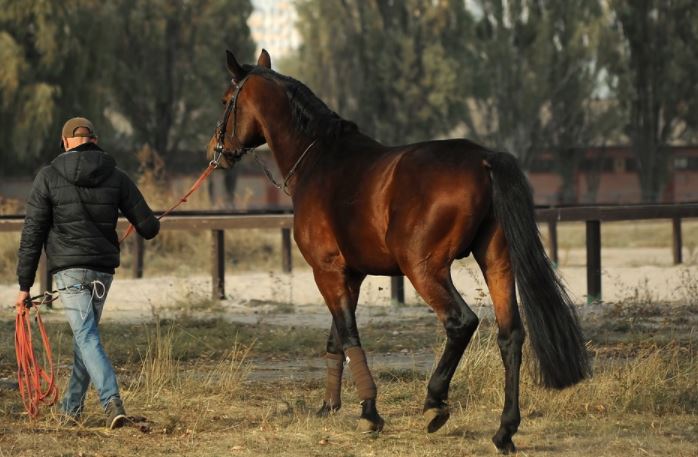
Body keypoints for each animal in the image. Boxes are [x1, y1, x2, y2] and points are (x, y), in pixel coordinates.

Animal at [207, 50, 588, 452]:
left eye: (225, 100)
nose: (216, 151)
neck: (320, 160)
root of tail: (484, 158)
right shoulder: (350, 275)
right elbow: (335, 338)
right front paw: (330, 407)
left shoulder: (326, 271)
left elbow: (348, 335)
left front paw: (370, 413)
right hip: (496, 261)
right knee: (510, 334)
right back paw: (504, 431)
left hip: (423, 269)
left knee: (461, 322)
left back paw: (435, 402)